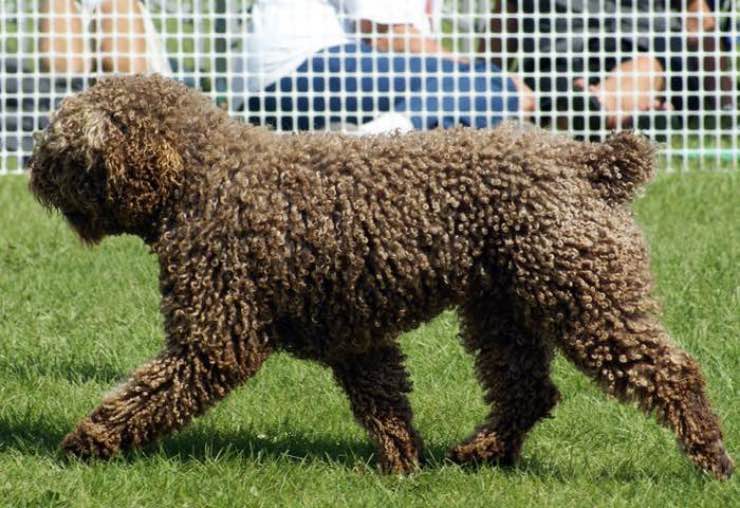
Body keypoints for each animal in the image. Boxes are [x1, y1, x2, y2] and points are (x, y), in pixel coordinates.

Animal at [26, 73, 732, 478]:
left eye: (57, 147)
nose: (32, 178)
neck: (203, 178)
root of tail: (593, 162)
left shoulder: (216, 336)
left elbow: (148, 393)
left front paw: (87, 442)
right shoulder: (354, 337)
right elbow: (386, 406)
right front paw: (405, 469)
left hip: (589, 301)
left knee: (673, 374)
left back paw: (711, 461)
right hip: (502, 312)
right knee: (530, 392)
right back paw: (481, 455)